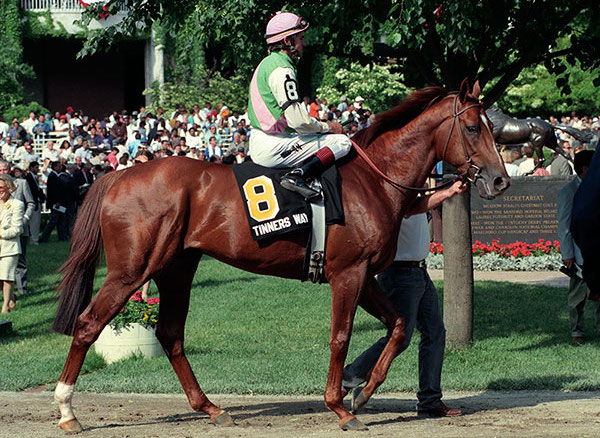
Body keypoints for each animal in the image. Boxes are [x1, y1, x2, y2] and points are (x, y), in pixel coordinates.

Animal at [54, 80, 508, 432]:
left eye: (492, 128)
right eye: (472, 127)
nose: (500, 180)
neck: (372, 180)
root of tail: (118, 175)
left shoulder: (364, 276)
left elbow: (398, 328)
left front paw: (362, 394)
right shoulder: (348, 273)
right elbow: (340, 337)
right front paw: (340, 408)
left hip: (176, 269)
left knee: (170, 334)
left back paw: (211, 409)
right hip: (131, 270)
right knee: (88, 324)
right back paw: (66, 411)